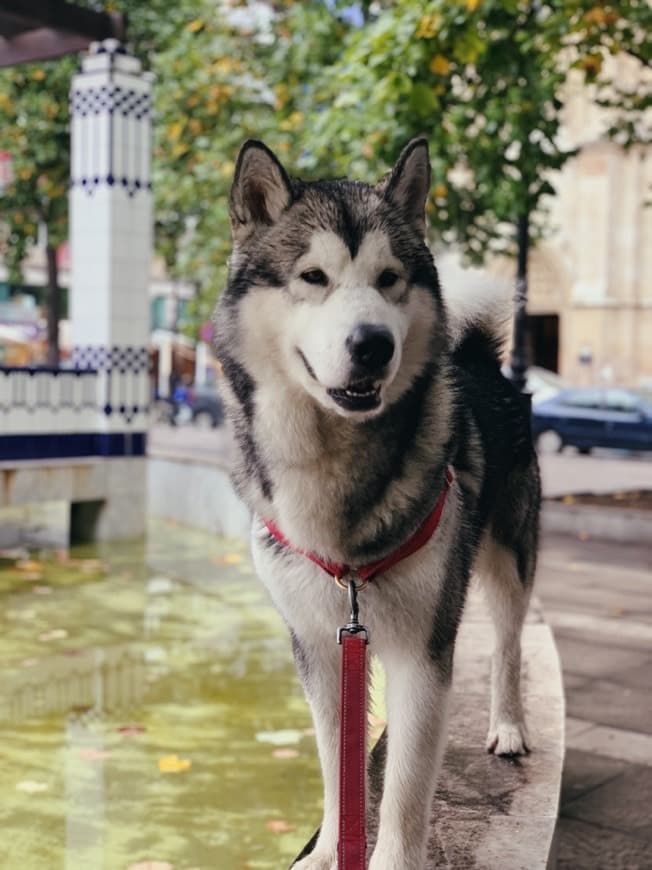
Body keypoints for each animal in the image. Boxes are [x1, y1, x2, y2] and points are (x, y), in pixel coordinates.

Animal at [214, 140, 540, 868]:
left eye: (389, 278)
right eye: (313, 276)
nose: (372, 344)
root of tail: (480, 358)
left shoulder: (423, 652)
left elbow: (407, 789)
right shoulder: (321, 644)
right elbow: (339, 764)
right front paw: (328, 853)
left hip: (511, 559)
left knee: (509, 646)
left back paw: (508, 726)